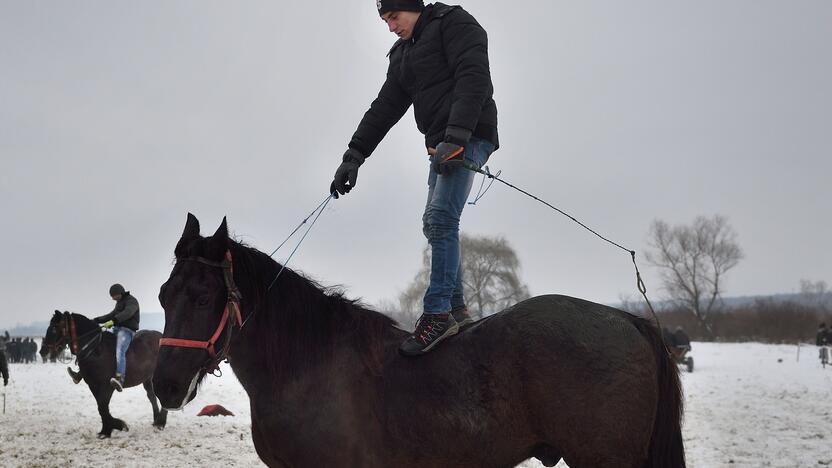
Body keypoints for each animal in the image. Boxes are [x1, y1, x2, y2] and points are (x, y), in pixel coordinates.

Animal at [44, 310, 168, 438]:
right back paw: (157, 421)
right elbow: (101, 408)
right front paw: (108, 429)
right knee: (152, 396)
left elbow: (102, 407)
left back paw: (160, 423)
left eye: (54, 329)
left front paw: (114, 427)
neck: (96, 349)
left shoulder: (107, 386)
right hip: (148, 378)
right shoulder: (93, 385)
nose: (44, 351)